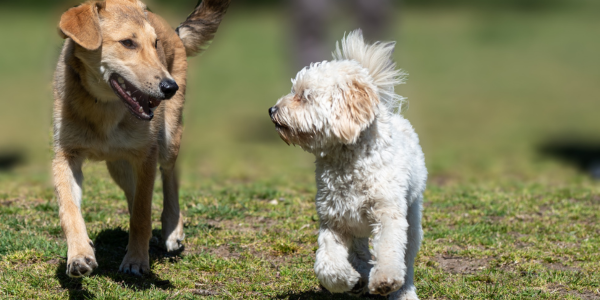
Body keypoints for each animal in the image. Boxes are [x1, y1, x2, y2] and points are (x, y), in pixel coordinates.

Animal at [53, 0, 230, 278]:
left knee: (170, 178)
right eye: (127, 43)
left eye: (155, 44)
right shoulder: (65, 156)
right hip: (118, 166)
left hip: (168, 141)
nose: (170, 87)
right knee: (133, 192)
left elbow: (141, 214)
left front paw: (136, 260)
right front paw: (80, 255)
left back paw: (172, 230)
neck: (103, 108)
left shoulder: (147, 156)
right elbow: (69, 210)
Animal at [268, 29, 426, 298]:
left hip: (412, 216)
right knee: (360, 250)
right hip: (356, 226)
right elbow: (326, 265)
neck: (347, 161)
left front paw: (385, 280)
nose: (272, 110)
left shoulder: (388, 213)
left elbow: (390, 250)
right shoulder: (334, 221)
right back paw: (361, 274)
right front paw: (349, 280)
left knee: (407, 257)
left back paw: (403, 290)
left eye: (304, 96)